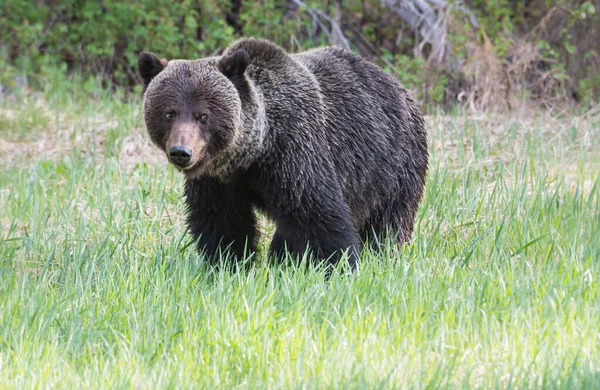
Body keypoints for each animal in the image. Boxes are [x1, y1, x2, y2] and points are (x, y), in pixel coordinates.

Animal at [138, 37, 428, 268]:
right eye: (169, 113)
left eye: (203, 115)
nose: (181, 152)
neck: (253, 153)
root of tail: (398, 86)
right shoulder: (217, 180)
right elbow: (222, 222)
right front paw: (227, 262)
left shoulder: (295, 153)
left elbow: (318, 214)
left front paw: (337, 265)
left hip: (393, 166)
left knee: (388, 223)